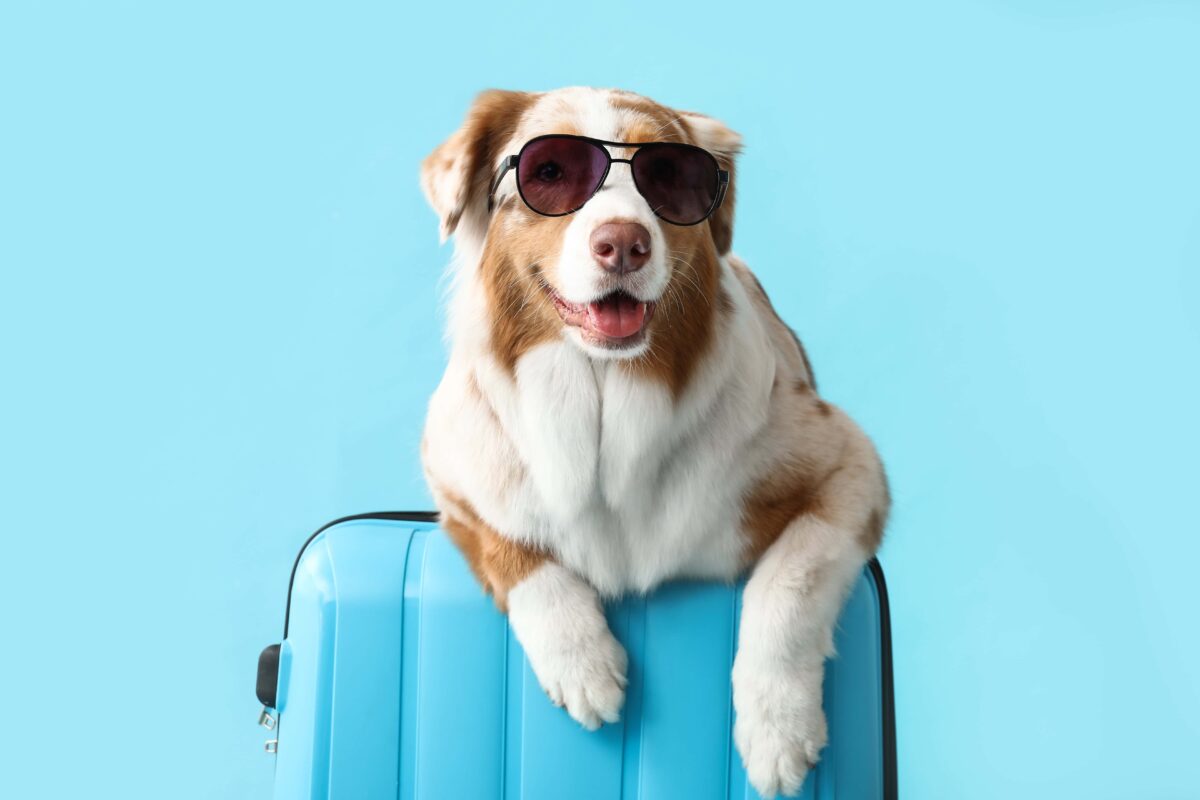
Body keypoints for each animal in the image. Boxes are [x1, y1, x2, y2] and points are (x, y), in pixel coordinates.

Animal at [417, 84, 888, 796]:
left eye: (669, 176)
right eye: (548, 171)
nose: (623, 244)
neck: (605, 401)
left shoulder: (849, 464)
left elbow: (789, 581)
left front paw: (778, 729)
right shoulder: (455, 473)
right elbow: (516, 552)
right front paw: (582, 666)